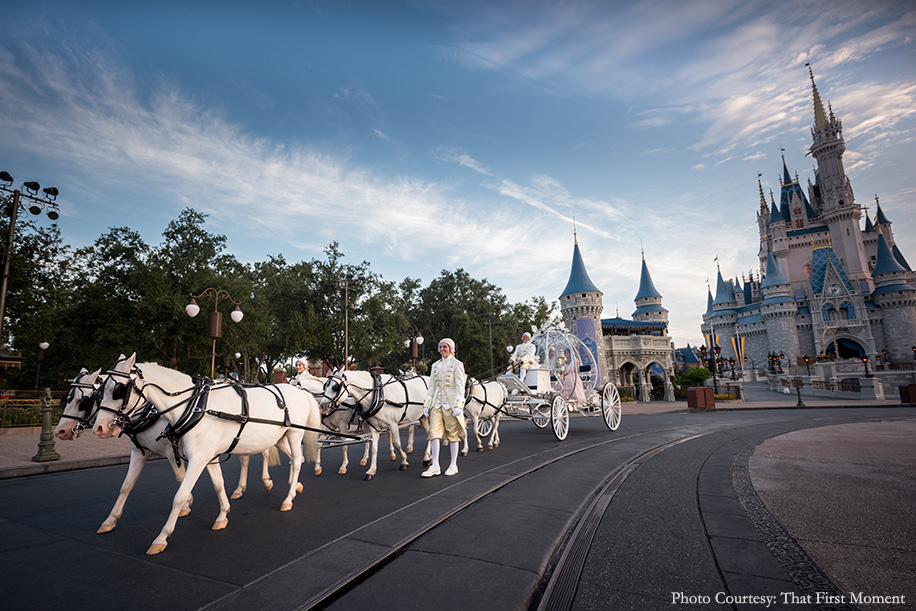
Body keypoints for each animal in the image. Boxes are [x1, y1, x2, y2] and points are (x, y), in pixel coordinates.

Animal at [93, 354, 320, 556]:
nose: (99, 427)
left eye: (118, 390)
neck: (195, 406)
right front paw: (223, 515)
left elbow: (180, 495)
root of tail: (300, 391)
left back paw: (288, 499)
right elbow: (218, 484)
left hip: (294, 434)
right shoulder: (206, 456)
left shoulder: (197, 458)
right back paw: (295, 486)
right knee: (295, 459)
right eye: (101, 391)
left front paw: (161, 538)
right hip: (279, 438)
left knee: (297, 461)